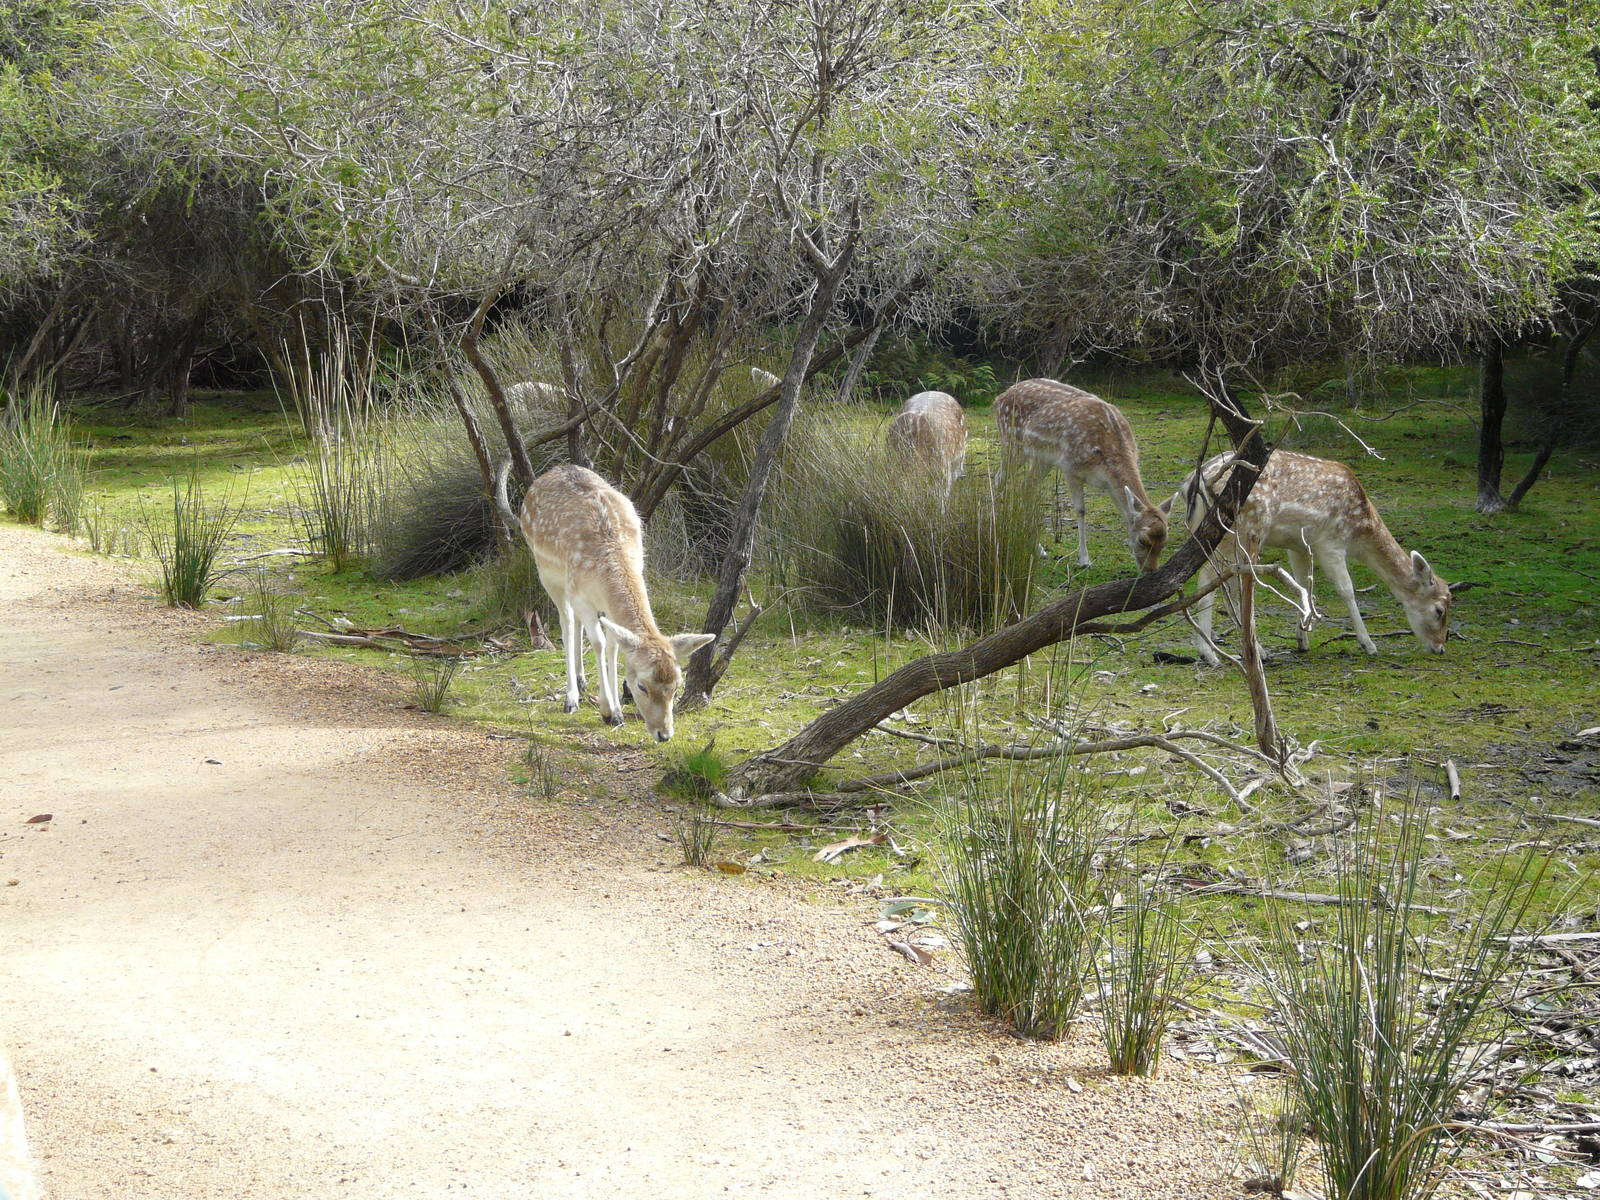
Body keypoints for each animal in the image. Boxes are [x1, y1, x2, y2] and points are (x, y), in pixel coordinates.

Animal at [495, 462, 715, 741]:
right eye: (641, 686)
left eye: (677, 685)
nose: (664, 734)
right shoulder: (580, 596)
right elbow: (599, 644)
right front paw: (607, 711)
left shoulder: (608, 608)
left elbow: (613, 647)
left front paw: (618, 711)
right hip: (548, 574)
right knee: (567, 623)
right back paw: (571, 697)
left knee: (575, 624)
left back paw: (581, 681)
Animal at [994, 378, 1168, 572]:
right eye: (1142, 540)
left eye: (1164, 543)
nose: (1150, 570)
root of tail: (999, 397)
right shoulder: (1069, 466)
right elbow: (1081, 510)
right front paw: (1084, 560)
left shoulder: (1111, 485)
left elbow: (1124, 513)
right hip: (1011, 443)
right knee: (998, 480)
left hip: (1042, 458)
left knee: (1026, 487)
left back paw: (1038, 549)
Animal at [1179, 449, 1452, 665]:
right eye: (1439, 610)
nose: (1440, 648)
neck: (1360, 531)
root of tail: (1193, 481)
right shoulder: (1331, 542)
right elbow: (1347, 590)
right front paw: (1368, 644)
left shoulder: (1298, 546)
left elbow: (1303, 586)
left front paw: (1302, 639)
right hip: (1240, 529)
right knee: (1210, 579)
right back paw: (1209, 654)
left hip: (1210, 533)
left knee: (1223, 582)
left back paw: (1250, 650)